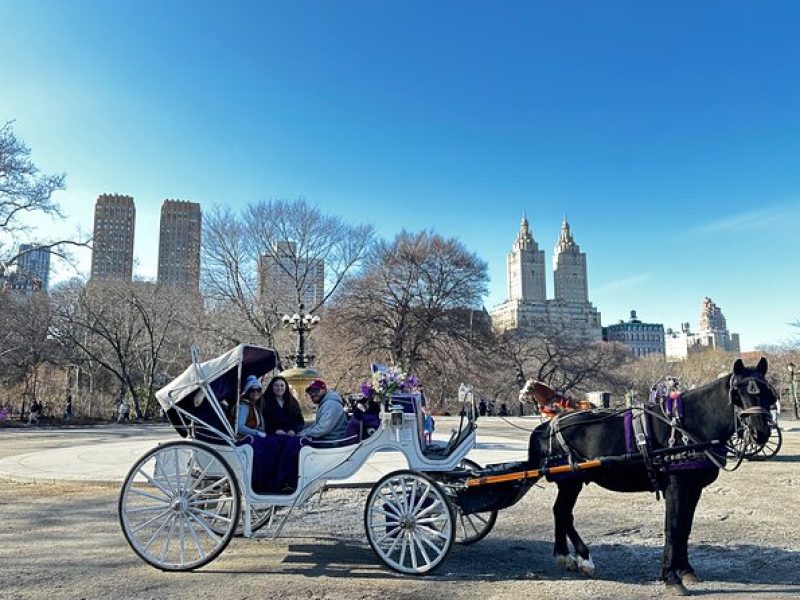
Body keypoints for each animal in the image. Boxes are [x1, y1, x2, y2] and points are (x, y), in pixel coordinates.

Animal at [524, 356, 776, 596]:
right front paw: (671, 577)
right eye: (737, 394)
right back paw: (583, 557)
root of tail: (548, 425)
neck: (688, 426)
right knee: (564, 512)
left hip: (570, 482)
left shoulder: (693, 488)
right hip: (571, 481)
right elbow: (673, 528)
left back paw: (566, 556)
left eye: (767, 393)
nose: (760, 432)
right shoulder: (677, 487)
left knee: (561, 512)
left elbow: (685, 527)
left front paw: (685, 570)